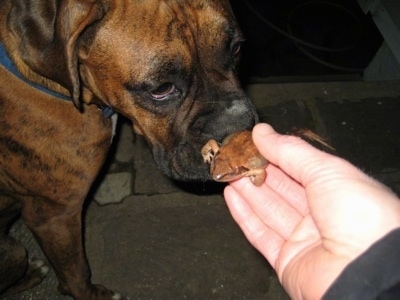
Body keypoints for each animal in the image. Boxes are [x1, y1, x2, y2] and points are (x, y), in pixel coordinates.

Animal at [0, 0, 258, 298]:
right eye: (161, 89)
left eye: (236, 49)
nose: (241, 126)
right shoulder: (54, 216)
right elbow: (76, 273)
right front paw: (92, 294)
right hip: (14, 251)